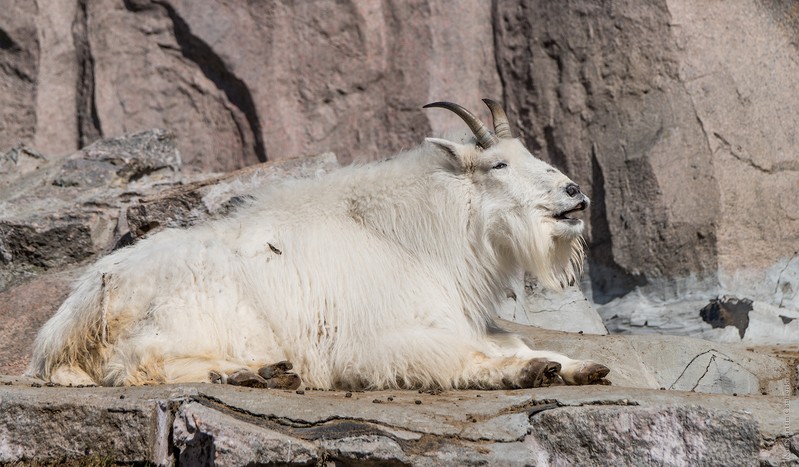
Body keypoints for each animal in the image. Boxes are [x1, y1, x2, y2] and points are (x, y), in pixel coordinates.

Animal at [28, 99, 608, 392]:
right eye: (499, 164)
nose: (573, 194)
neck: (416, 235)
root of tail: (75, 318)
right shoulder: (376, 340)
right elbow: (463, 357)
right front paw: (528, 371)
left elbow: (516, 342)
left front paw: (580, 366)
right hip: (183, 322)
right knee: (137, 366)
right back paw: (249, 372)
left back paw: (267, 372)